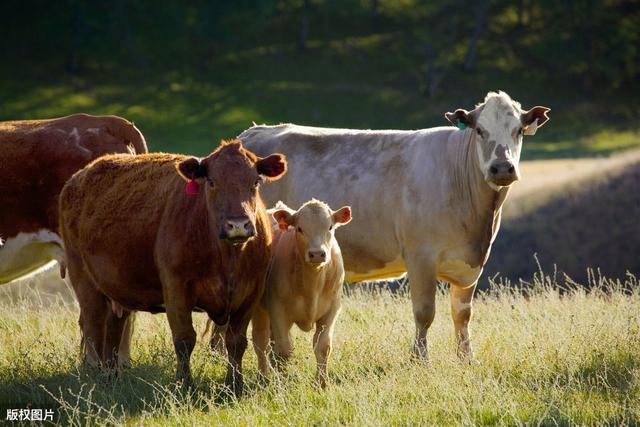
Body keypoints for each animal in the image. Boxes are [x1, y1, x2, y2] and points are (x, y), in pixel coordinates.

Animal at [57, 140, 288, 394]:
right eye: (212, 182)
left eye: (255, 181)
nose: (237, 225)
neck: (228, 257)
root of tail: (77, 178)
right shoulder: (176, 289)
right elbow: (184, 339)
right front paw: (185, 384)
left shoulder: (251, 292)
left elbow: (236, 342)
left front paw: (234, 386)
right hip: (84, 282)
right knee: (93, 329)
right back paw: (95, 379)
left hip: (116, 291)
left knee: (113, 332)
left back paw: (111, 378)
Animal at [250, 201, 350, 388]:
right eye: (299, 228)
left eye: (330, 227)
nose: (317, 254)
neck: (312, 284)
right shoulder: (277, 309)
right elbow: (283, 350)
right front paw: (281, 384)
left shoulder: (331, 311)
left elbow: (323, 347)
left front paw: (322, 384)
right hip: (259, 310)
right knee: (261, 343)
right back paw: (263, 378)